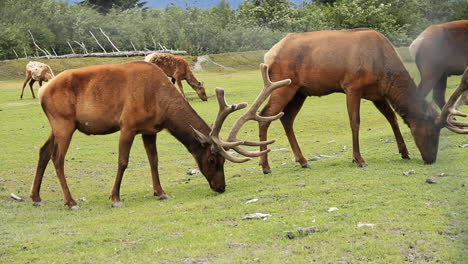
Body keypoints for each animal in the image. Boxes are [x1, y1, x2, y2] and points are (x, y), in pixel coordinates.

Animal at [31, 61, 288, 208]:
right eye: (213, 158)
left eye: (224, 161)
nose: (220, 187)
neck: (160, 104)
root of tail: (43, 92)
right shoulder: (128, 124)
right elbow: (123, 161)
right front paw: (115, 198)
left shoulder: (149, 129)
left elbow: (153, 160)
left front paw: (161, 192)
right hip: (64, 123)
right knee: (57, 158)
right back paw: (70, 201)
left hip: (59, 125)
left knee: (43, 151)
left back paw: (36, 197)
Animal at [258, 29, 466, 173]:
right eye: (432, 130)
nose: (431, 159)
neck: (384, 71)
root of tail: (268, 55)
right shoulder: (352, 87)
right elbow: (355, 122)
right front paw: (359, 159)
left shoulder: (377, 94)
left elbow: (392, 118)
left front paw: (404, 152)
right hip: (283, 85)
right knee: (265, 115)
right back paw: (266, 166)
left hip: (300, 92)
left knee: (287, 118)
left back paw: (303, 161)